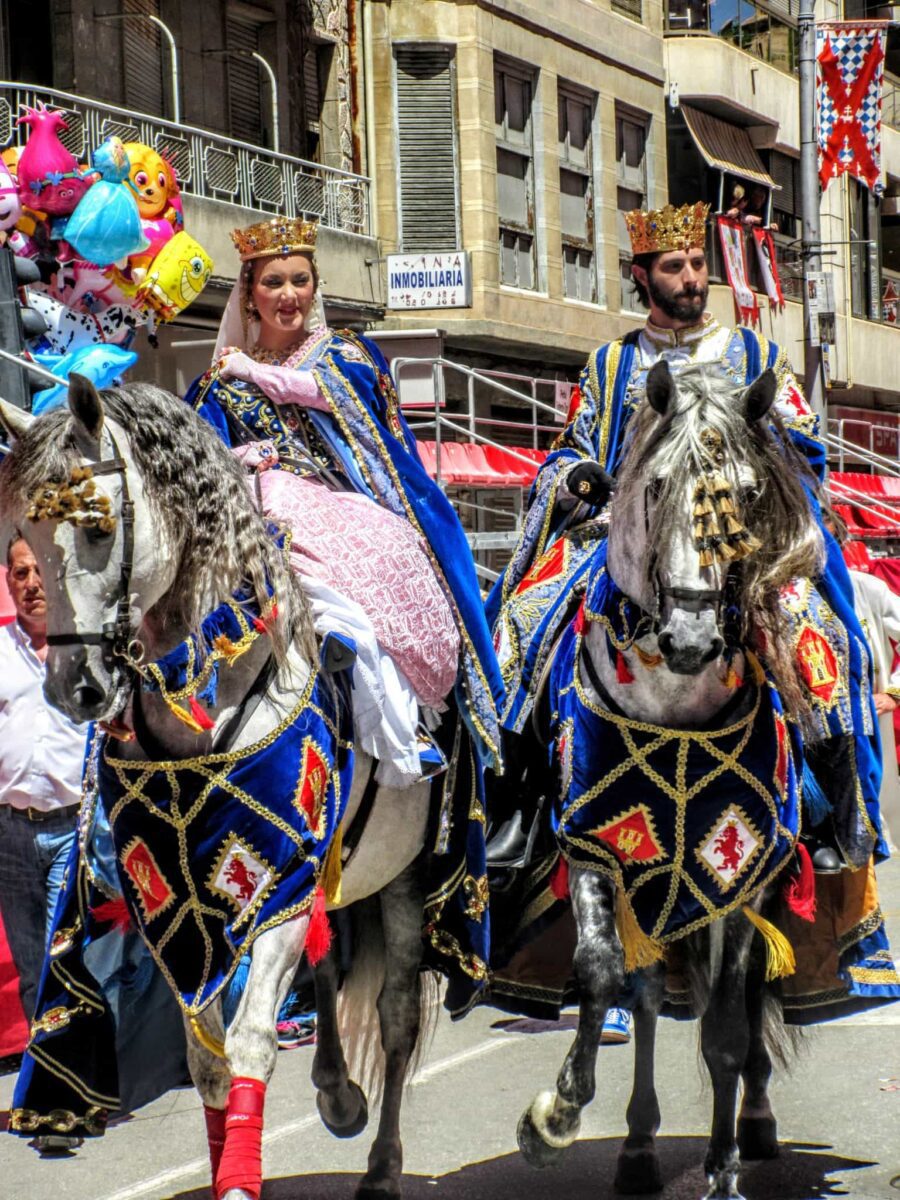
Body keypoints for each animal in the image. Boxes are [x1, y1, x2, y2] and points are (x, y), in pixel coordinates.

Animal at [0, 379, 444, 1200]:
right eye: (27, 539)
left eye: (98, 528)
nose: (75, 689)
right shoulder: (172, 907)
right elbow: (207, 1057)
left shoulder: (275, 880)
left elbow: (250, 1042)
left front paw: (241, 1177)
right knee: (328, 965)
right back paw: (337, 1094)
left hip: (404, 873)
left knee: (396, 1016)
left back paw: (381, 1165)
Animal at [520, 362, 825, 1200]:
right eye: (655, 486)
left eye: (749, 493)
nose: (691, 636)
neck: (674, 707)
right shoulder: (599, 845)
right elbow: (602, 973)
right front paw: (555, 1116)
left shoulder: (738, 871)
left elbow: (724, 1028)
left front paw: (721, 1171)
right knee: (651, 993)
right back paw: (637, 1147)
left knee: (742, 1004)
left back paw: (752, 1122)